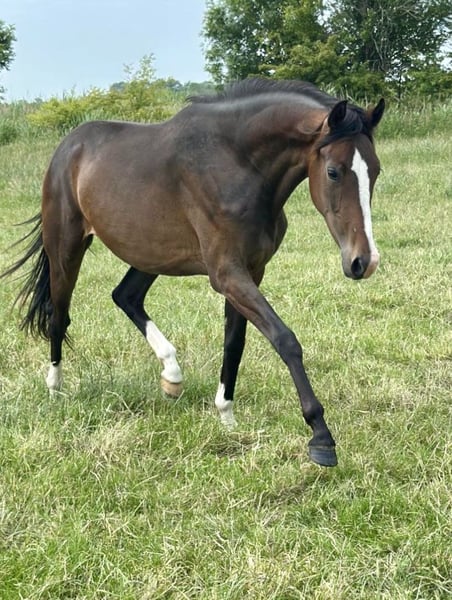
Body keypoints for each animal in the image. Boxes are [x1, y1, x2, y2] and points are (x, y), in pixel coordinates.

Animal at [1, 78, 385, 467]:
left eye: (376, 170)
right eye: (334, 171)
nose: (363, 261)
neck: (238, 164)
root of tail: (68, 147)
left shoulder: (250, 272)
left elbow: (235, 343)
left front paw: (227, 417)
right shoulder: (227, 274)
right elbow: (285, 339)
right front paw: (321, 436)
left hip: (152, 255)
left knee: (126, 296)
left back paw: (171, 375)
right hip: (66, 249)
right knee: (59, 316)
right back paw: (55, 389)